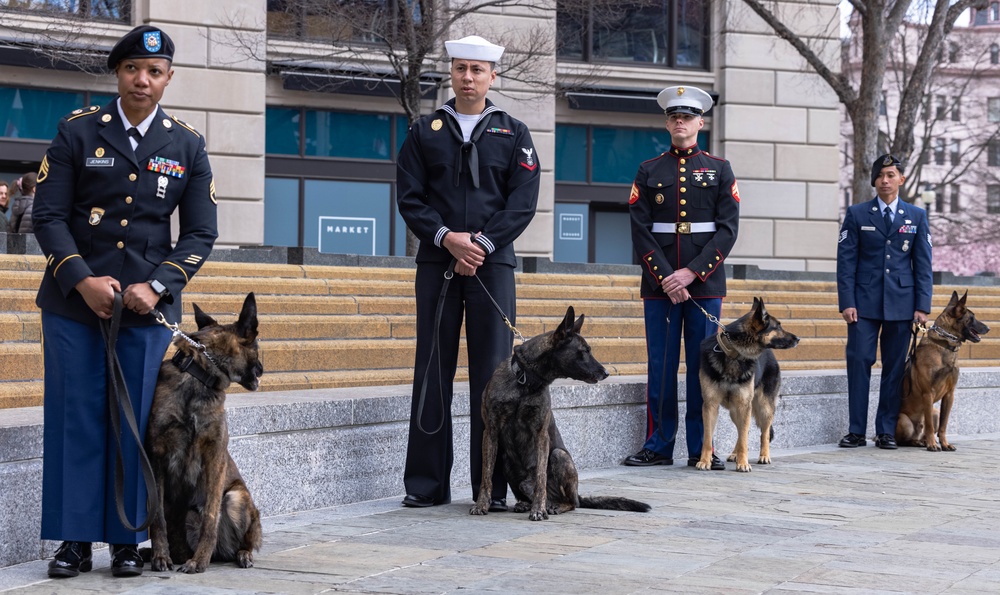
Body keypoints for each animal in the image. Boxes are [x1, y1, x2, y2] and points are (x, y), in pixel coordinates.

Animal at [145, 292, 264, 572]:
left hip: (236, 497)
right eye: (257, 348)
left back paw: (241, 554)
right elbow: (158, 519)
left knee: (244, 540)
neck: (198, 375)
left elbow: (210, 514)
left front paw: (199, 560)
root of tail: (223, 553)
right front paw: (160, 555)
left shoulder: (215, 457)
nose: (263, 369)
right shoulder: (156, 458)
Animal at [470, 308, 652, 520]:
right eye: (584, 351)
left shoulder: (541, 435)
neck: (525, 381)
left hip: (559, 456)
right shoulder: (490, 432)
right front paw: (482, 504)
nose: (606, 373)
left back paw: (552, 506)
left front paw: (538, 510)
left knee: (571, 502)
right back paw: (526, 504)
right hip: (506, 461)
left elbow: (541, 478)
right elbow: (486, 475)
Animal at [700, 300, 800, 472]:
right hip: (736, 411)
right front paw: (705, 461)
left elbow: (745, 440)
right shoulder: (710, 405)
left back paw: (764, 456)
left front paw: (743, 463)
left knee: (762, 433)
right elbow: (707, 438)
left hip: (763, 407)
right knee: (743, 432)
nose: (798, 339)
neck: (733, 353)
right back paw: (735, 454)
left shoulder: (743, 405)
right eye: (778, 327)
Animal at [896, 290, 988, 452]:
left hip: (935, 412)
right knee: (906, 439)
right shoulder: (928, 394)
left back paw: (922, 441)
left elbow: (943, 426)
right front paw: (933, 444)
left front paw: (944, 444)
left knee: (923, 431)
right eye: (972, 318)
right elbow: (930, 426)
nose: (988, 328)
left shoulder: (949, 395)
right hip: (904, 421)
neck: (944, 344)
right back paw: (920, 442)